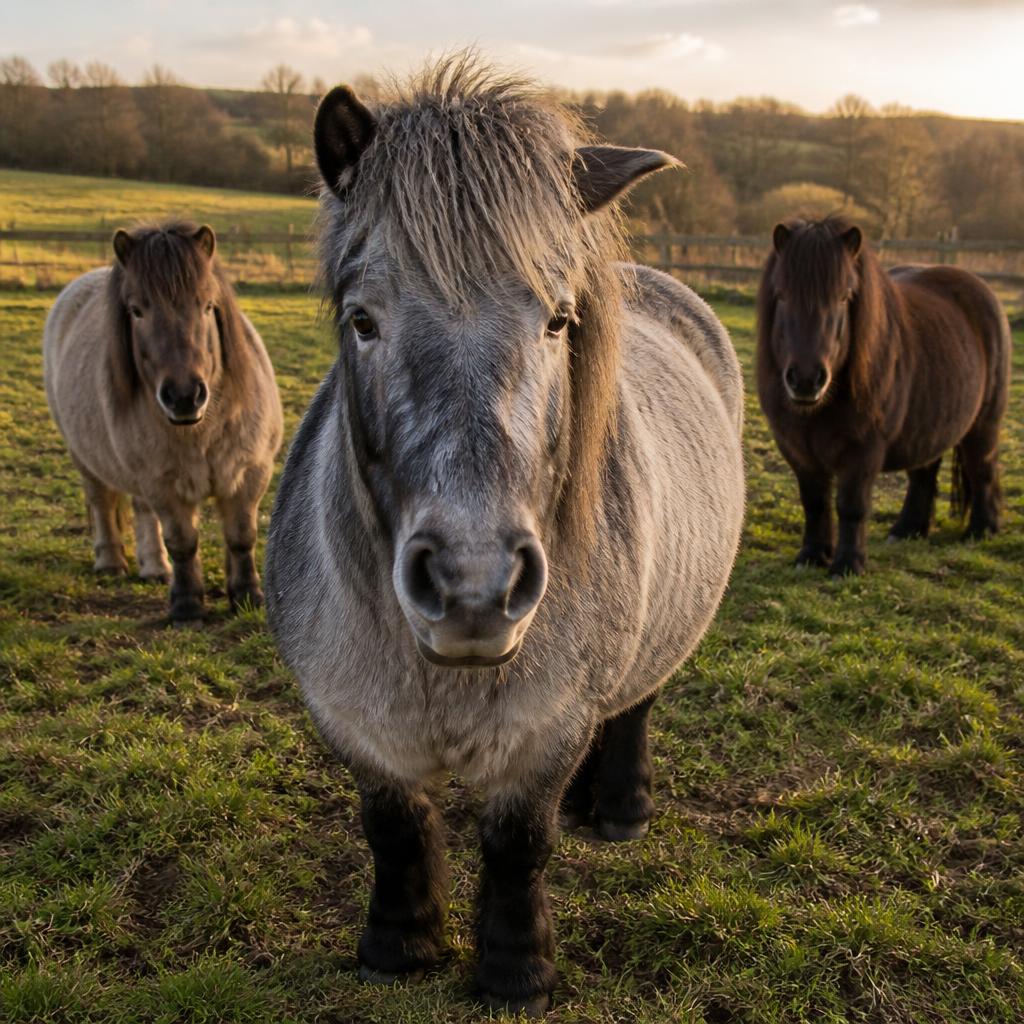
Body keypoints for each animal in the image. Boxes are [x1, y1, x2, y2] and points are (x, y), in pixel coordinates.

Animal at [43, 221, 283, 621]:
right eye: (136, 311)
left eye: (207, 305)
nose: (184, 395)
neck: (200, 429)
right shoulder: (163, 484)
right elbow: (182, 542)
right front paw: (187, 606)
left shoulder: (248, 474)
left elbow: (241, 537)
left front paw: (247, 596)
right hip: (87, 459)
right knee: (102, 501)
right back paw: (111, 562)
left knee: (141, 512)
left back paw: (155, 568)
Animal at [264, 57, 745, 1016]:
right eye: (362, 319)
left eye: (558, 320)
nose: (472, 585)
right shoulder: (355, 723)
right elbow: (393, 828)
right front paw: (399, 946)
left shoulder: (546, 729)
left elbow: (520, 843)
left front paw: (516, 972)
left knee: (636, 702)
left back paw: (617, 807)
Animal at [756, 216, 1010, 577]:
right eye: (782, 295)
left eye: (844, 297)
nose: (806, 380)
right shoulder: (797, 450)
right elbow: (814, 502)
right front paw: (812, 556)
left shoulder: (863, 450)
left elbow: (851, 505)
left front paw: (848, 565)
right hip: (930, 422)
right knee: (924, 472)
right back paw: (907, 530)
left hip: (983, 424)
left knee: (983, 467)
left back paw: (982, 530)